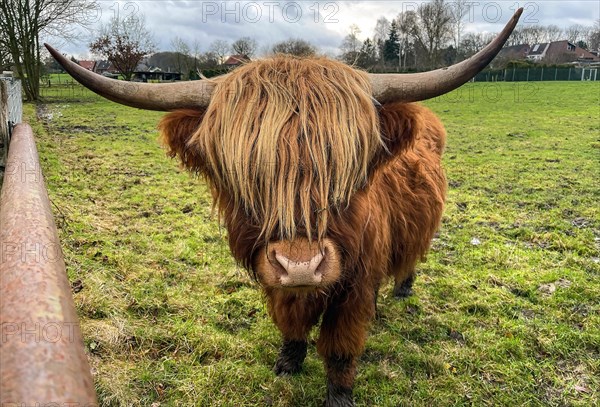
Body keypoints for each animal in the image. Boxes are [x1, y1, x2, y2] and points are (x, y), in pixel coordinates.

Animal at [49, 7, 524, 406]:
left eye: (345, 171)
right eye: (247, 177)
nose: (300, 266)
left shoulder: (355, 284)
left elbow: (340, 346)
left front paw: (339, 395)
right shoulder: (273, 277)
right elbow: (290, 325)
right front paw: (287, 362)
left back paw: (403, 287)